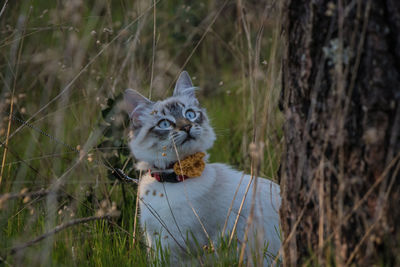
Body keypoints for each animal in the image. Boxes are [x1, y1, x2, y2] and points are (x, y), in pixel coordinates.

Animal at [122, 71, 282, 266]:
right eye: (165, 124)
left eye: (190, 114)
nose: (187, 126)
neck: (172, 181)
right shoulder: (155, 241)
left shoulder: (180, 246)